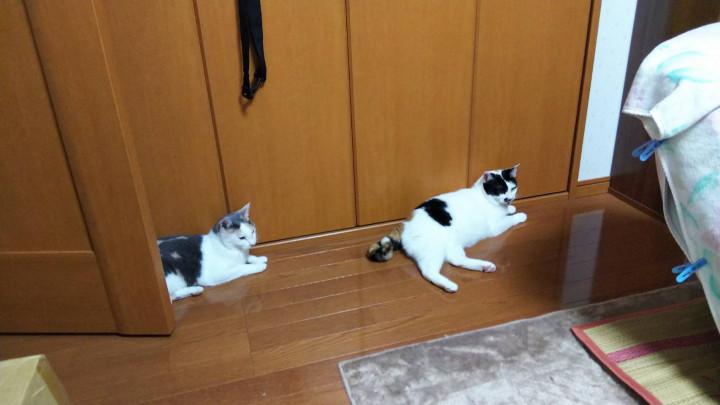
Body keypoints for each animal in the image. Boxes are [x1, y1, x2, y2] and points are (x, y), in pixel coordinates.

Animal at [367, 165, 526, 293]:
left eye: (512, 188)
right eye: (499, 190)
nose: (508, 199)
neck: (484, 196)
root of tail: (405, 223)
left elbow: (508, 211)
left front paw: (511, 208)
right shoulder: (495, 226)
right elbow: (510, 219)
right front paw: (520, 215)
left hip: (452, 244)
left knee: (456, 260)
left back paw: (485, 266)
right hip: (435, 248)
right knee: (429, 271)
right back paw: (450, 285)